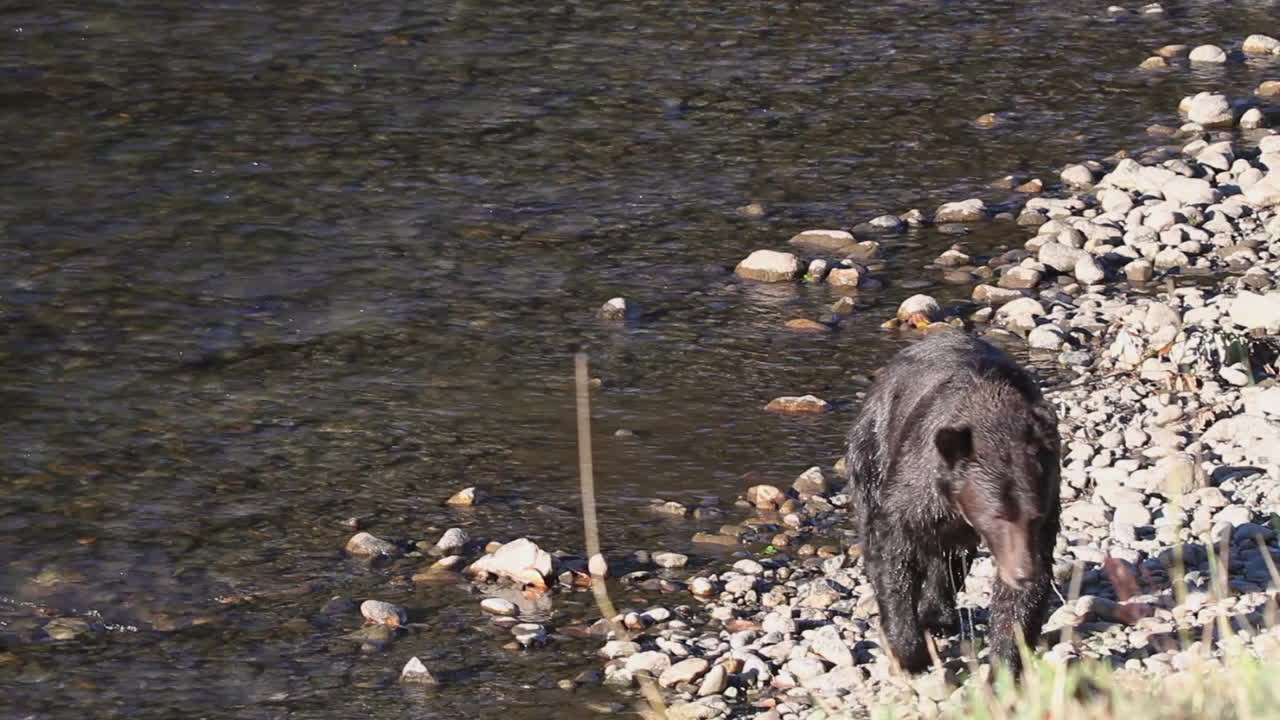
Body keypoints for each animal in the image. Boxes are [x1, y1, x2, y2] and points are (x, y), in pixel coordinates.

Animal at [844, 330, 1061, 676]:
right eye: (997, 515)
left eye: (1034, 516)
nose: (1022, 572)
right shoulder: (915, 488)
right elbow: (892, 555)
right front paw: (910, 652)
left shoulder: (1047, 499)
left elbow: (1019, 601)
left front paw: (1004, 665)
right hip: (872, 444)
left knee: (950, 557)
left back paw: (939, 616)